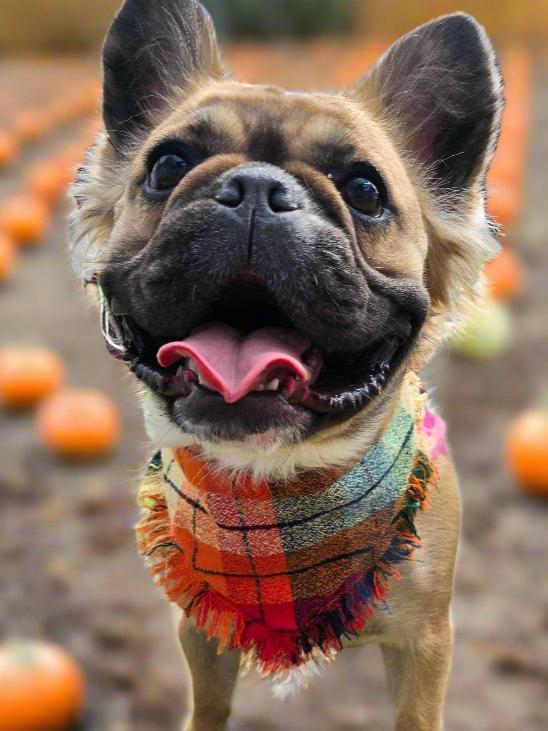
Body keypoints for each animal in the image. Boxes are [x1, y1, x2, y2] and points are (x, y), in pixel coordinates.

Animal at [70, 2, 504, 728]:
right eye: (167, 165)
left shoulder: (424, 640)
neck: (277, 477)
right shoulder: (200, 626)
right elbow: (209, 703)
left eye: (365, 190)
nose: (255, 187)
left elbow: (416, 712)